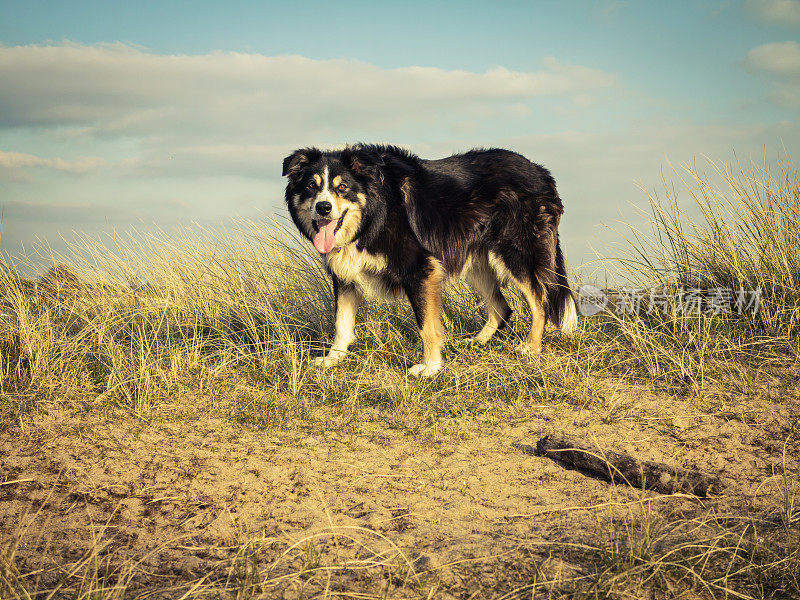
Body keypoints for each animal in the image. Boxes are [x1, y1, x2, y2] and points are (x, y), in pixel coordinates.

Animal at [284, 144, 580, 378]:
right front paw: (333, 358)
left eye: (342, 187)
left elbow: (426, 325)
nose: (323, 207)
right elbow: (342, 322)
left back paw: (531, 347)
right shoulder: (345, 274)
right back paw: (476, 342)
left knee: (540, 300)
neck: (374, 213)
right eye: (311, 187)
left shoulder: (420, 268)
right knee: (502, 307)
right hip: (477, 261)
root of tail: (542, 172)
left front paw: (430, 367)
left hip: (516, 252)